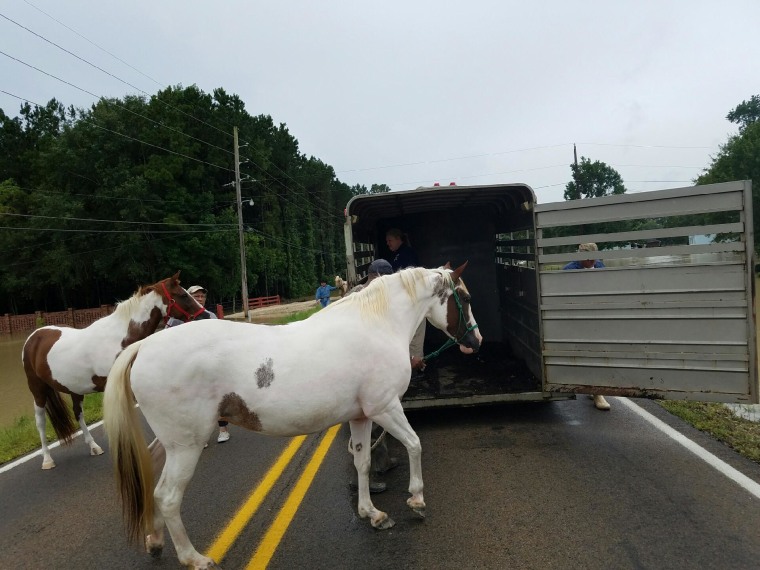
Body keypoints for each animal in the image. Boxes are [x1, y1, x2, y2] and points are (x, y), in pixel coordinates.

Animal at [22, 272, 206, 468]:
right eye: (183, 295)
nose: (204, 315)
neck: (120, 338)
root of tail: (34, 336)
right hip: (37, 389)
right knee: (40, 421)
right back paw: (47, 459)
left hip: (75, 389)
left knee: (78, 414)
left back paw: (94, 447)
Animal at [104, 262, 480, 568]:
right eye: (465, 297)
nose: (475, 341)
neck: (376, 324)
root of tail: (144, 346)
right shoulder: (385, 408)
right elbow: (415, 445)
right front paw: (416, 499)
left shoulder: (361, 416)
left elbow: (362, 463)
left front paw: (371, 513)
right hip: (186, 446)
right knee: (167, 497)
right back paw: (194, 558)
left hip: (168, 443)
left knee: (151, 478)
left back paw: (155, 541)